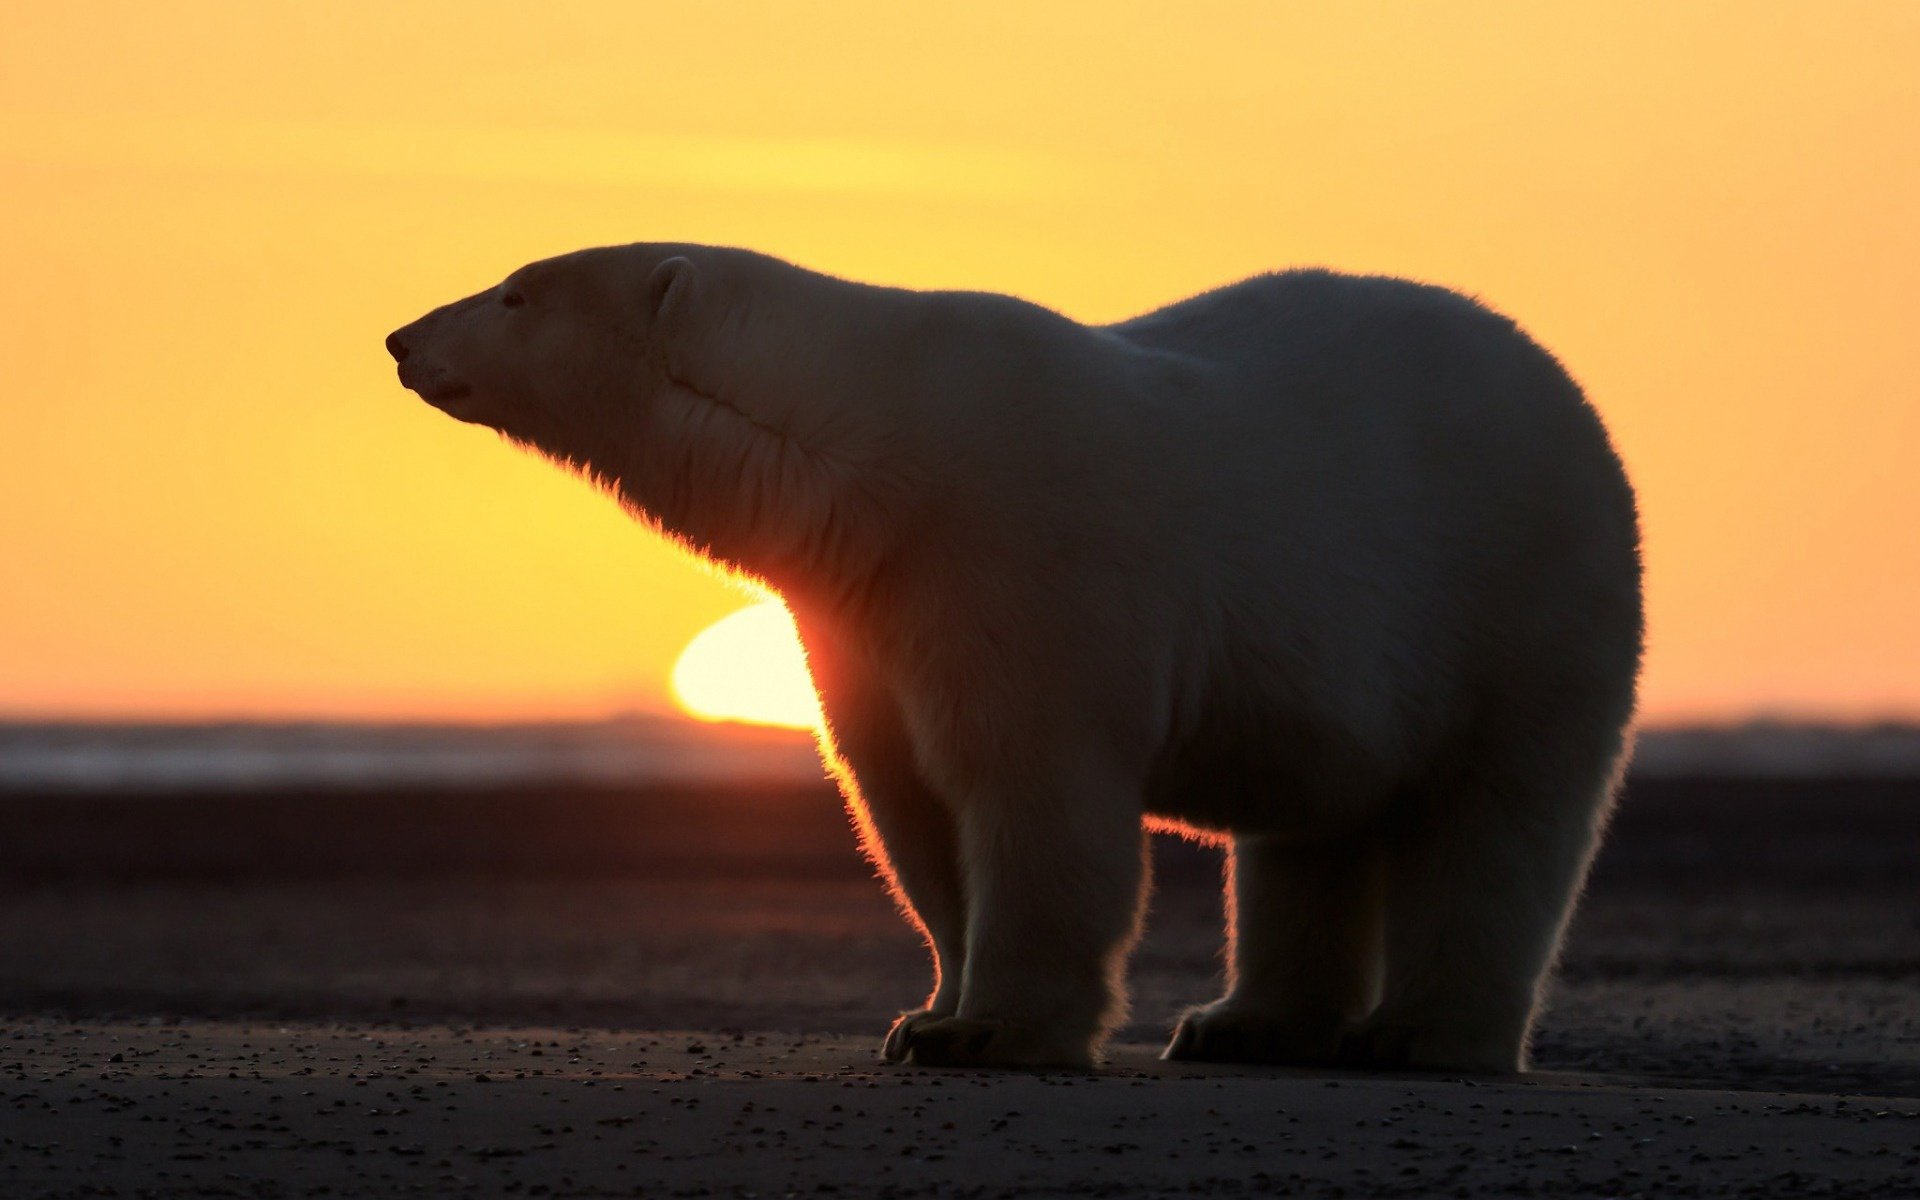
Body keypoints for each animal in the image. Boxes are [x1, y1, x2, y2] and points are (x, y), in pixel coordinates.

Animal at [385, 243, 1635, 1067]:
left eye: (515, 290)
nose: (400, 337)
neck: (871, 448)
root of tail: (1569, 391)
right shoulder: (863, 607)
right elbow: (907, 803)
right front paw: (927, 1015)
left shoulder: (1017, 554)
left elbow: (1034, 793)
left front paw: (996, 1031)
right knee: (1308, 831)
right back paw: (1243, 1024)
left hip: (1523, 595)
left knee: (1497, 821)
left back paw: (1424, 1034)